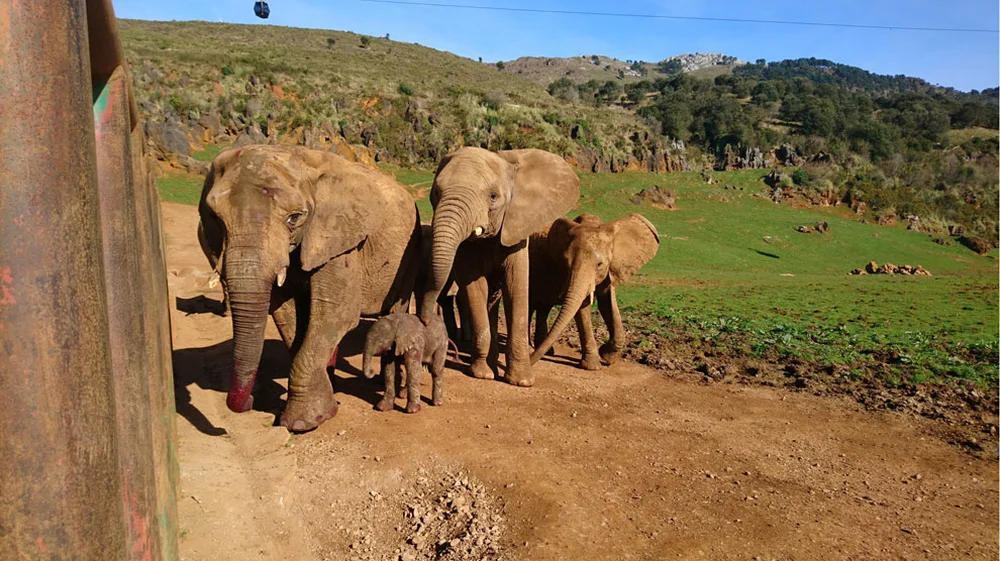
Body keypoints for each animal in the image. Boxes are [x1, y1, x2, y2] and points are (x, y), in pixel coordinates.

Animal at [199, 145, 422, 434]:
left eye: (294, 218)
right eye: (215, 218)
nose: (249, 401)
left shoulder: (340, 240)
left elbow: (338, 314)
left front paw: (303, 423)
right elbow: (288, 314)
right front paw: (324, 407)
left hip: (409, 254)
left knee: (394, 310)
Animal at [420, 147, 584, 388]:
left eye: (493, 196)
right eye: (436, 193)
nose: (425, 321)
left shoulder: (517, 231)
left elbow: (516, 287)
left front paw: (522, 381)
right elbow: (476, 288)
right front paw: (482, 374)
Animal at [528, 213, 660, 368]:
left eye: (599, 264)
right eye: (566, 262)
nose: (530, 362)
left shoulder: (610, 269)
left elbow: (607, 304)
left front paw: (607, 357)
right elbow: (582, 308)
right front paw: (592, 366)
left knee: (543, 307)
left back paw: (547, 351)